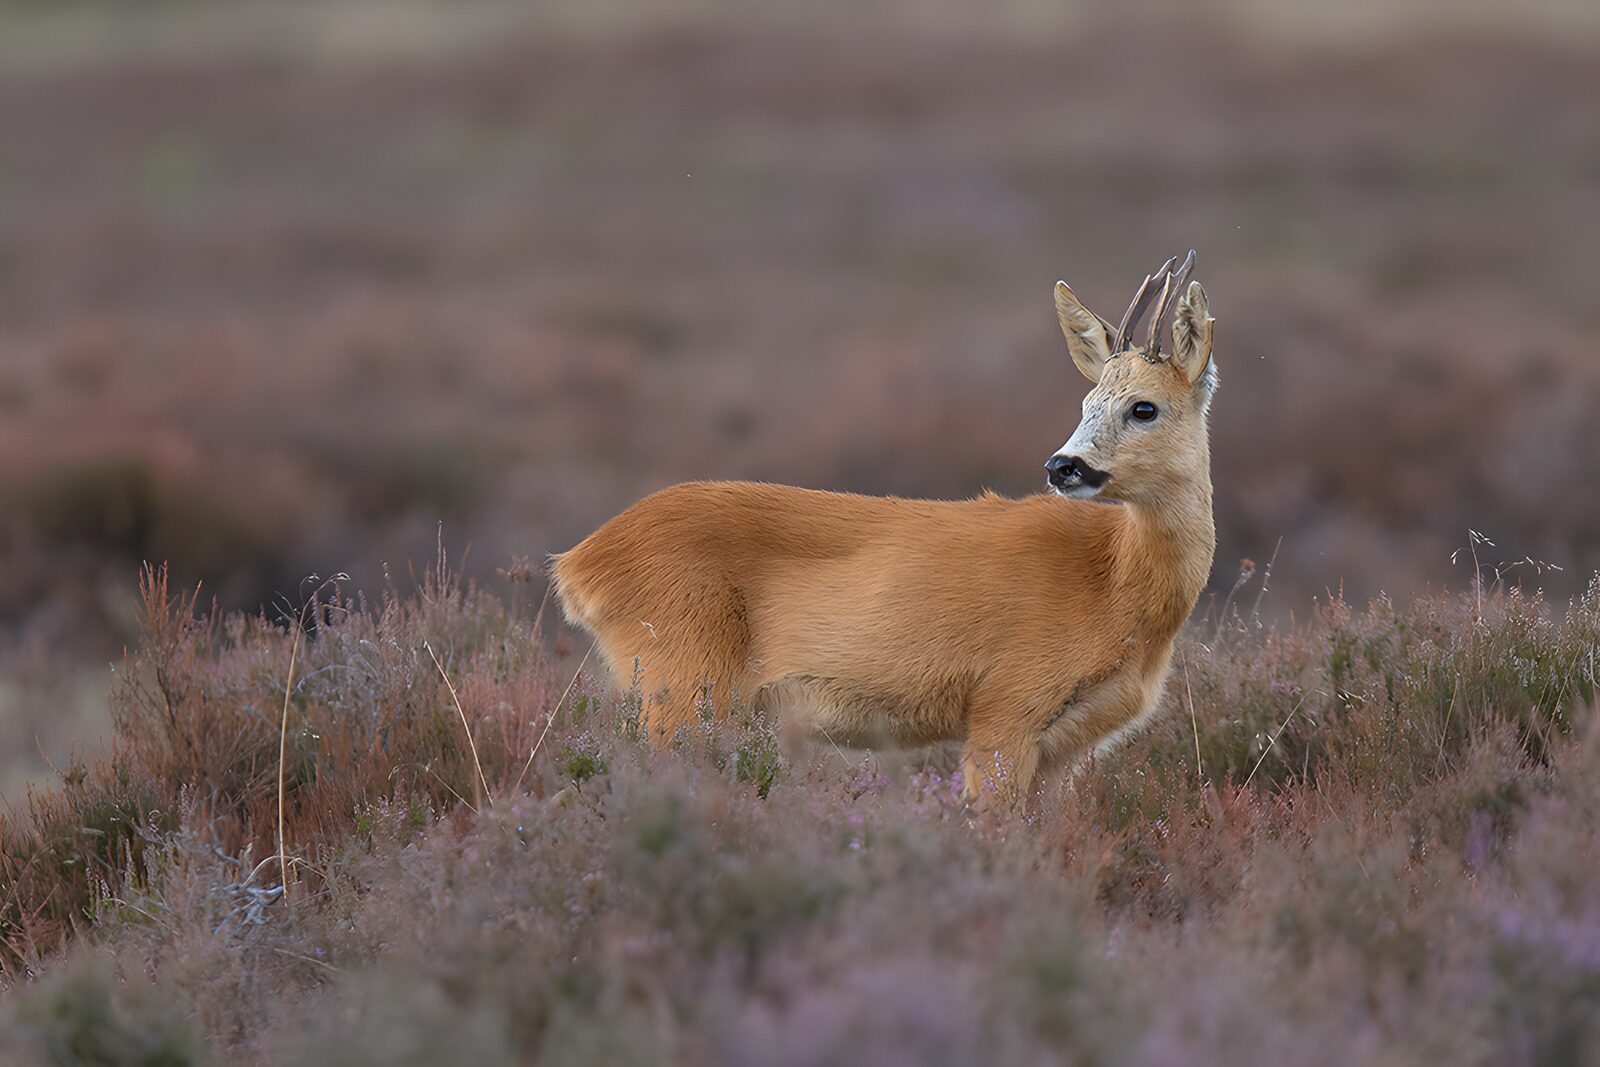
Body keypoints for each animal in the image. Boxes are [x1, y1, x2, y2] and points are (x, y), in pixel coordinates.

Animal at [551, 251, 1217, 805]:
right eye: (1086, 403)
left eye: (1144, 407)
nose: (1062, 466)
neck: (1112, 584)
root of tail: (577, 564)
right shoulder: (1006, 706)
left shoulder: (1067, 748)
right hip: (681, 678)